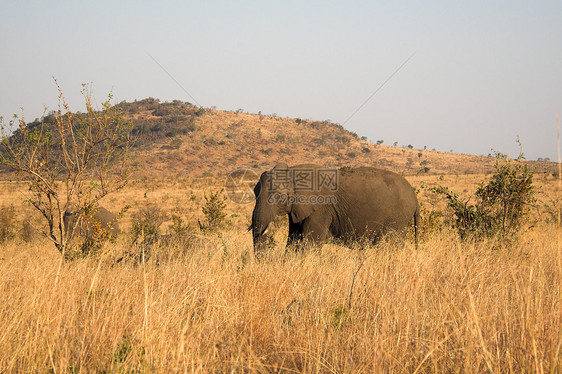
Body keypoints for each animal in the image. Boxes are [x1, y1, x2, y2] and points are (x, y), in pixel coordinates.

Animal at [249, 164, 416, 254]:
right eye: (255, 192)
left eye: (278, 196)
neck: (292, 172)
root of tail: (414, 196)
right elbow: (293, 240)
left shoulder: (321, 209)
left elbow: (311, 244)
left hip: (397, 218)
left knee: (390, 245)